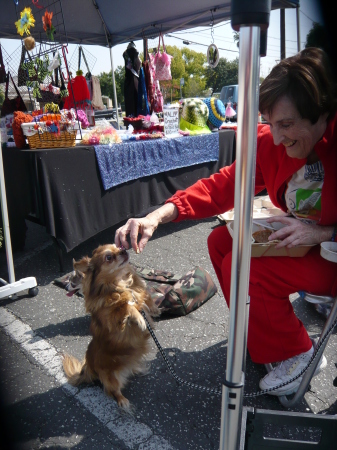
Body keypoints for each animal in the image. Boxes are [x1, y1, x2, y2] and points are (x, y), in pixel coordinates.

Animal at [62, 244, 160, 410]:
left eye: (118, 246)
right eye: (109, 257)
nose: (124, 249)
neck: (121, 283)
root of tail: (88, 368)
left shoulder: (139, 294)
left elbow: (144, 298)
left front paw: (151, 309)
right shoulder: (113, 322)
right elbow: (126, 307)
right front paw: (139, 318)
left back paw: (136, 369)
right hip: (111, 378)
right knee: (112, 391)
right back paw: (123, 402)